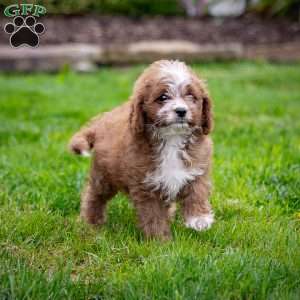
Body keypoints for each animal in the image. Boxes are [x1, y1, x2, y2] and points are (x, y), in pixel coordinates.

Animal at [68, 59, 213, 240]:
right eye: (163, 97)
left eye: (191, 96)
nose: (181, 110)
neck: (172, 138)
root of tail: (101, 121)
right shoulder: (145, 184)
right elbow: (153, 214)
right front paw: (160, 240)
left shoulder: (197, 167)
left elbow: (197, 191)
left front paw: (199, 219)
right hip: (104, 176)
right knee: (94, 195)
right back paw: (90, 222)